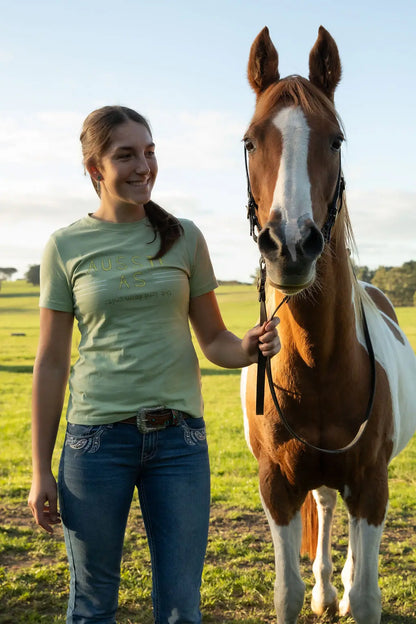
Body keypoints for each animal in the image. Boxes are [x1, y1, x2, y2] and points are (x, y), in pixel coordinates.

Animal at [240, 25, 416, 624]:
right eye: (250, 141)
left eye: (336, 141)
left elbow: (366, 598)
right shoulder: (276, 487)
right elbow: (286, 593)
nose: (291, 246)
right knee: (323, 502)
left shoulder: (372, 484)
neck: (318, 363)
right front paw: (312, 592)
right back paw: (323, 589)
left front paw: (350, 589)